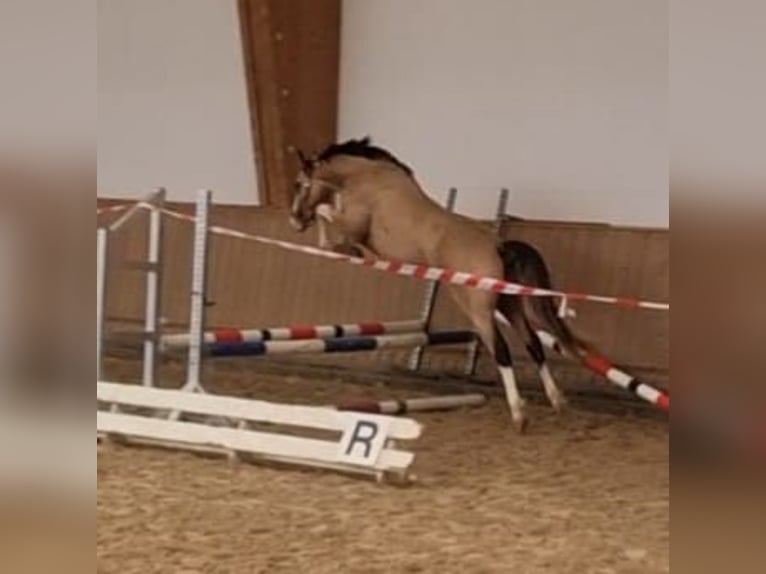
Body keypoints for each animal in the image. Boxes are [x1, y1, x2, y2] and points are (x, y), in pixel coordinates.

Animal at [292, 138, 596, 432]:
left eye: (299, 184)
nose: (294, 220)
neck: (367, 178)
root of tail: (499, 246)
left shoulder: (352, 227)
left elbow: (325, 215)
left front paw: (330, 236)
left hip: (478, 310)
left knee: (501, 351)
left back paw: (519, 415)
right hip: (509, 306)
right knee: (533, 344)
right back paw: (557, 401)